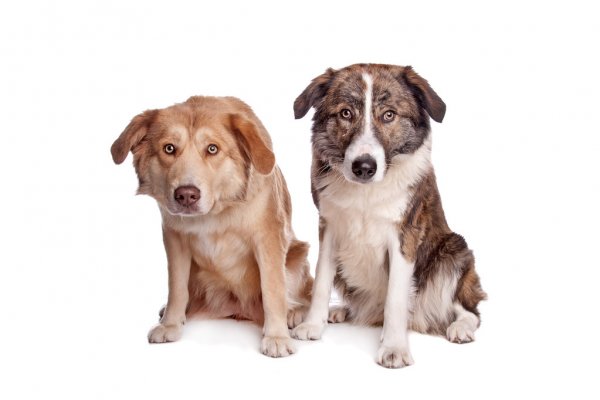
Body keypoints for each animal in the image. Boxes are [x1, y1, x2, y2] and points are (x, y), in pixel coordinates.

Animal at [109, 96, 312, 356]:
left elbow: (273, 289)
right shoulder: (175, 239)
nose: (186, 195)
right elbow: (176, 287)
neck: (216, 214)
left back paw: (294, 312)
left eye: (212, 149)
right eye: (169, 148)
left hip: (298, 254)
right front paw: (171, 323)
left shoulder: (267, 239)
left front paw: (277, 336)